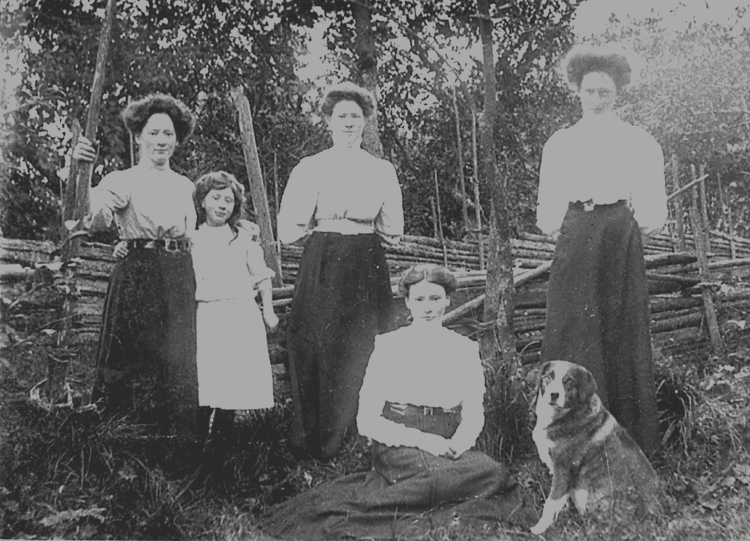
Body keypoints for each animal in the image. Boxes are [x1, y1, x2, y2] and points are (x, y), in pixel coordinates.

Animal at [530, 360, 664, 535]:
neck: (566, 413)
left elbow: (551, 502)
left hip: (597, 498)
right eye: (548, 377)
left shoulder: (564, 468)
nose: (554, 394)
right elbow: (561, 500)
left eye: (569, 381)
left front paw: (539, 528)